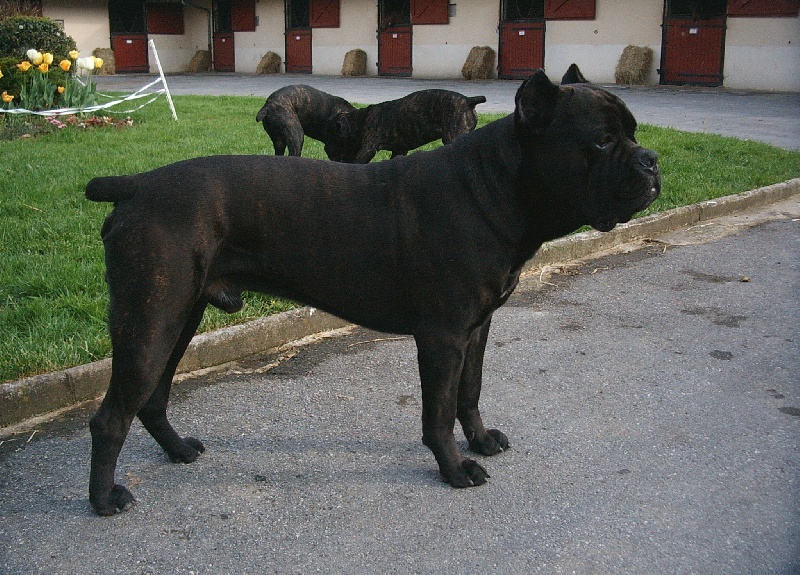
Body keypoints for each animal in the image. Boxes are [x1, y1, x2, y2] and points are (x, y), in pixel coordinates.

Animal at [323, 89, 487, 163]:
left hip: (452, 136)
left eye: (331, 135)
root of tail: (468, 100)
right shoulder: (399, 150)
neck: (360, 120)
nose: (325, 148)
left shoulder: (368, 149)